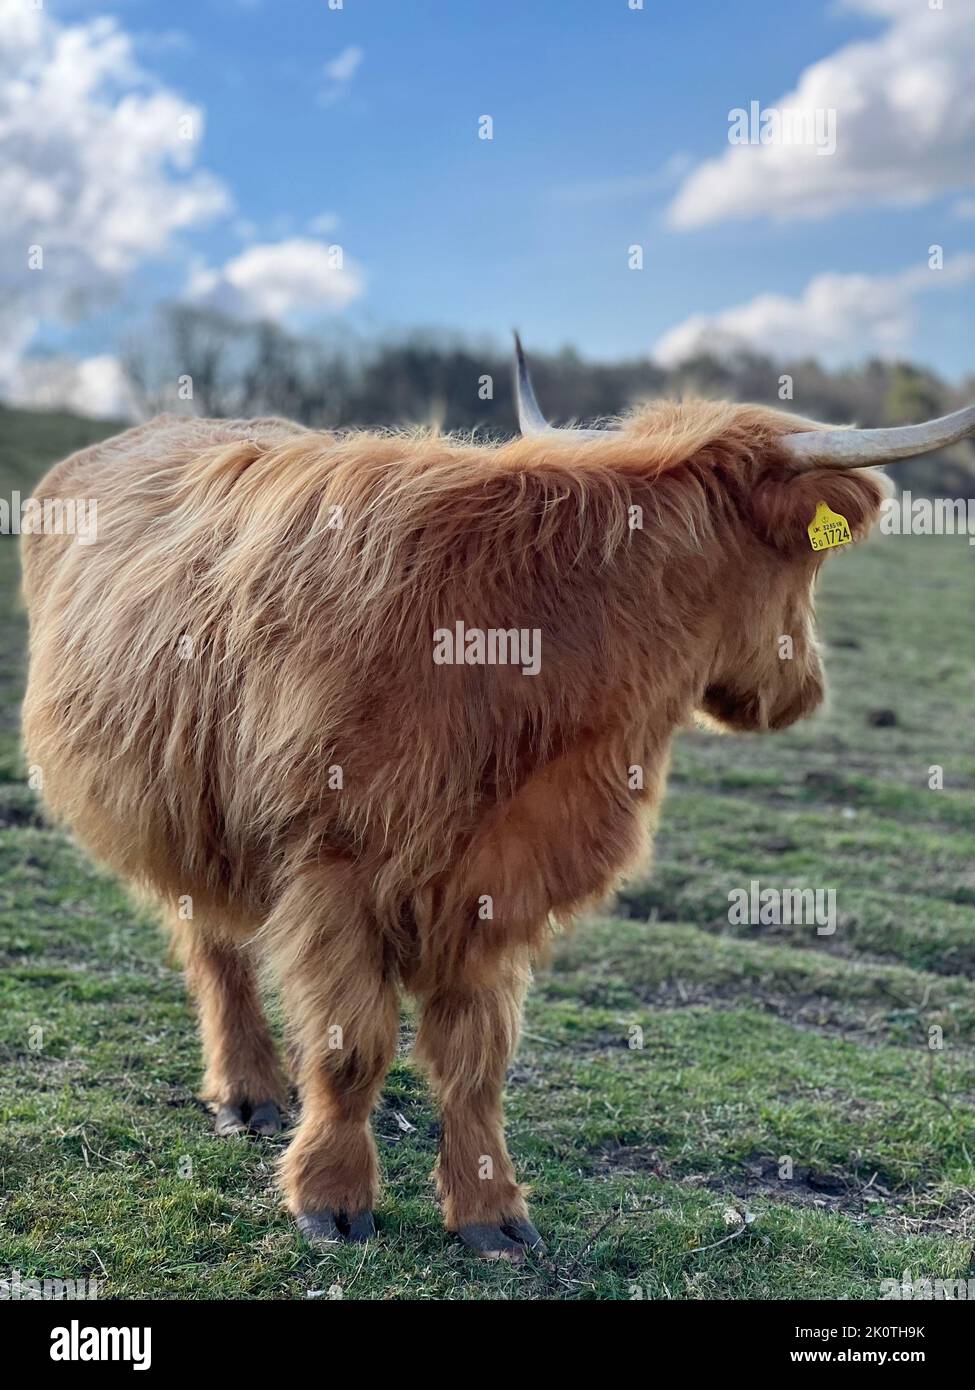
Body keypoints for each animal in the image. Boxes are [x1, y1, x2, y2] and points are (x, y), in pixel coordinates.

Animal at [19, 339, 975, 1261]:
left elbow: (475, 1059)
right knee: (214, 949)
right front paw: (331, 1201)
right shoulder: (333, 865)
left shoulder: (498, 879)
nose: (803, 691)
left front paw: (492, 1215)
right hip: (178, 813)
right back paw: (248, 1093)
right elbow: (351, 1047)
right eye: (808, 560)